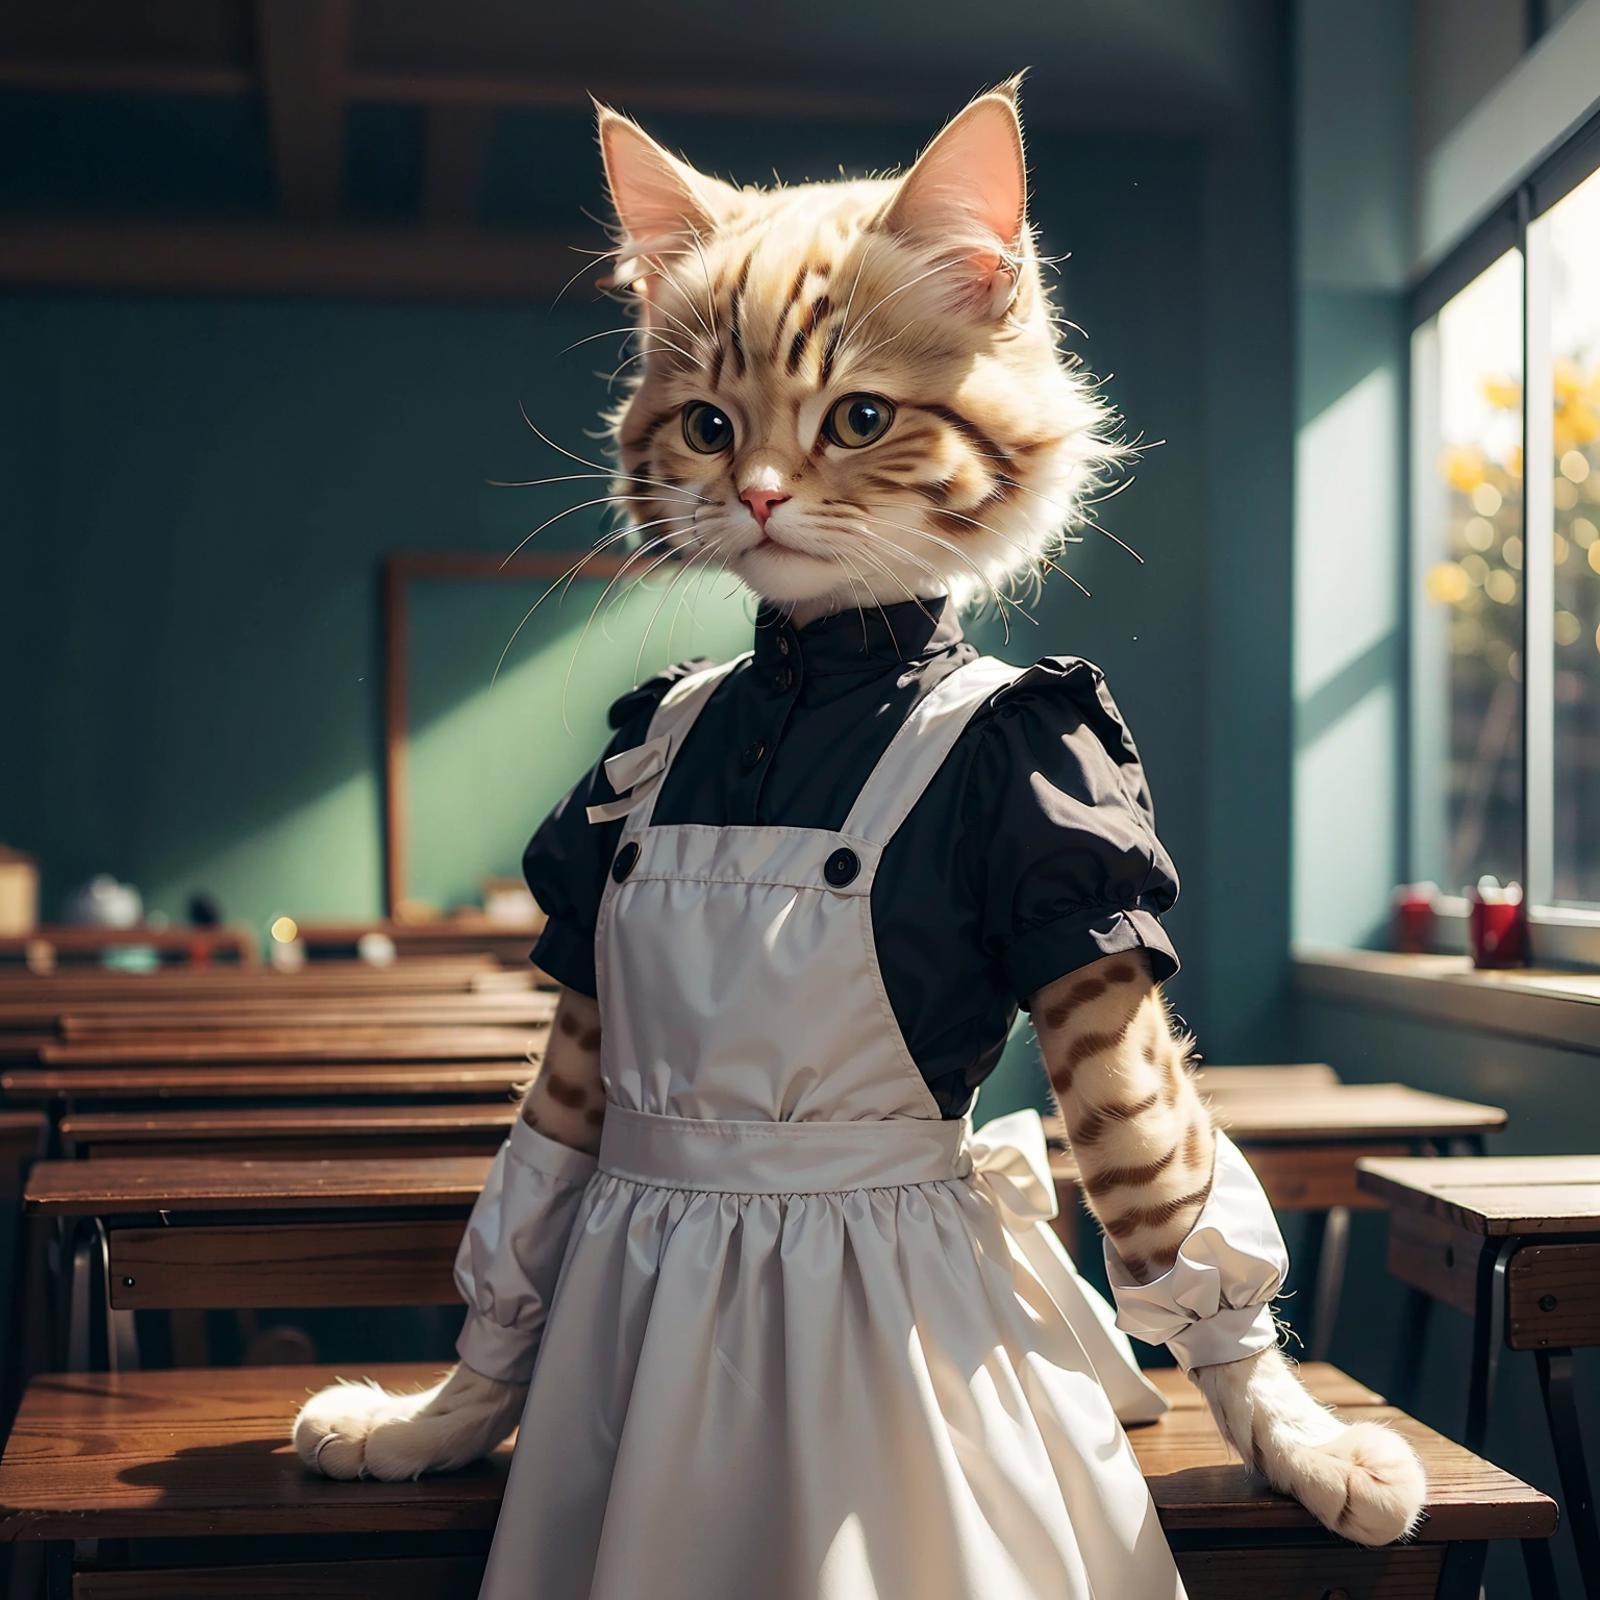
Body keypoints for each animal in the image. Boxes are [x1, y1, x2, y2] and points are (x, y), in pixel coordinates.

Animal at [297, 81, 1427, 1593]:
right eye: (707, 426)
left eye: (861, 417)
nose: (762, 495)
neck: (816, 673)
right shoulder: (588, 956)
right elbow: (534, 1189)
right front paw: (438, 1420)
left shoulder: (1075, 875)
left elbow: (1152, 1176)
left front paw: (1294, 1436)